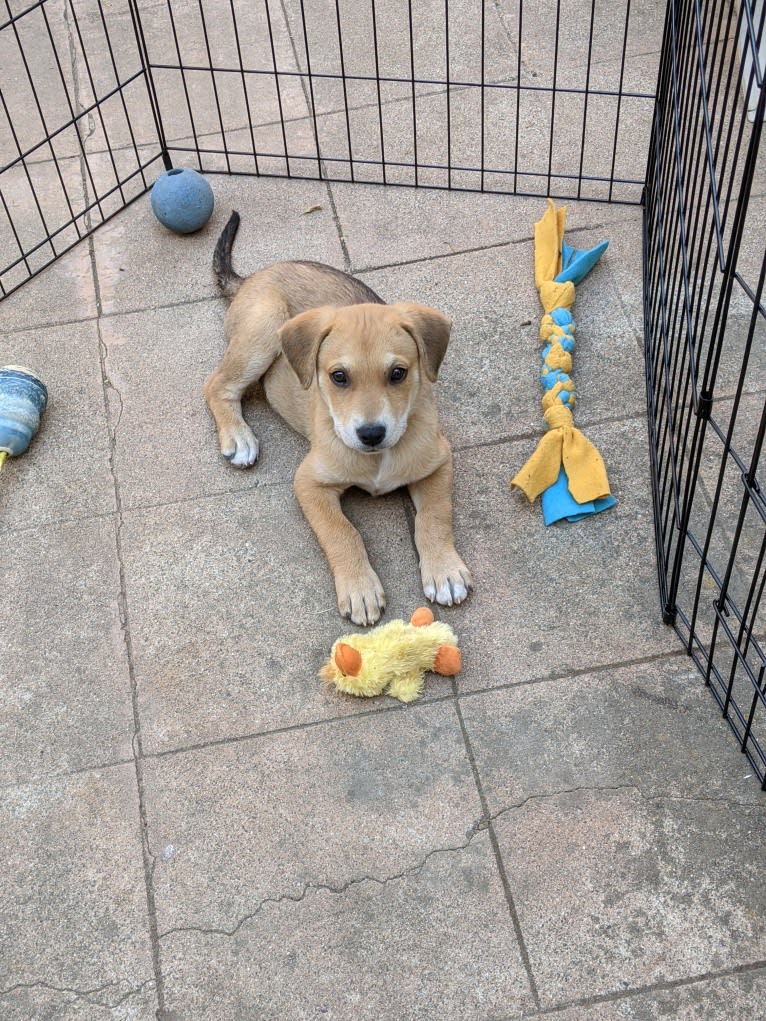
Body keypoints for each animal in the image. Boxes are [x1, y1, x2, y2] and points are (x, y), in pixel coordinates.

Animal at [204, 211, 471, 624]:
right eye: (338, 377)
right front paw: (359, 587)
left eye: (398, 373)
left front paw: (443, 570)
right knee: (217, 385)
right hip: (263, 328)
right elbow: (342, 531)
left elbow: (435, 516)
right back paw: (238, 437)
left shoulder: (439, 461)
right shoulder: (309, 482)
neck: (378, 459)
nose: (371, 433)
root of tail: (254, 276)